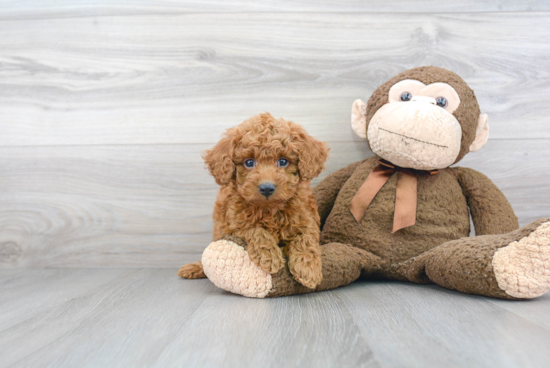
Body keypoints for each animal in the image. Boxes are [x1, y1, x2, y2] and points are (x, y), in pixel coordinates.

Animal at [179, 112, 330, 288]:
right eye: (249, 162)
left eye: (283, 161)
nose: (266, 188)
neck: (269, 209)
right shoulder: (233, 224)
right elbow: (254, 229)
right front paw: (270, 255)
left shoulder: (307, 220)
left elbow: (305, 238)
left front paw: (308, 269)